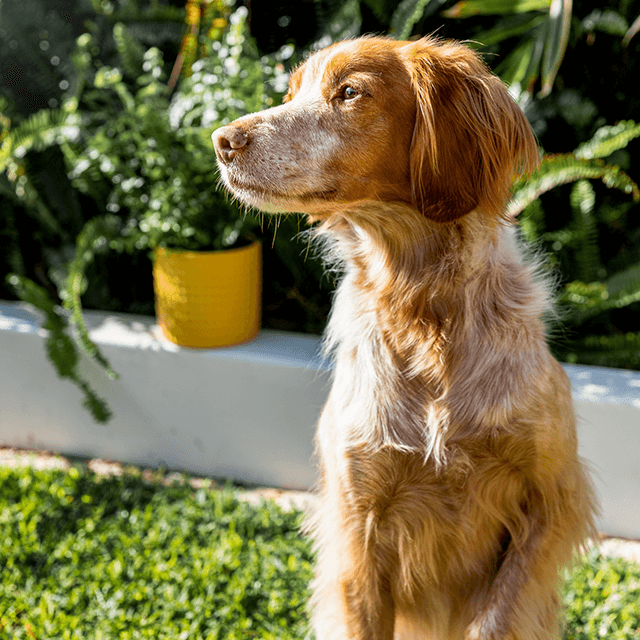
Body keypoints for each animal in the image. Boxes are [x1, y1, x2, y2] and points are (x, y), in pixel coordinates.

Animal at [212, 33, 596, 640]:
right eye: (291, 94)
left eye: (349, 92)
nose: (222, 141)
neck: (423, 310)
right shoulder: (357, 526)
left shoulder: (551, 500)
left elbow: (496, 617)